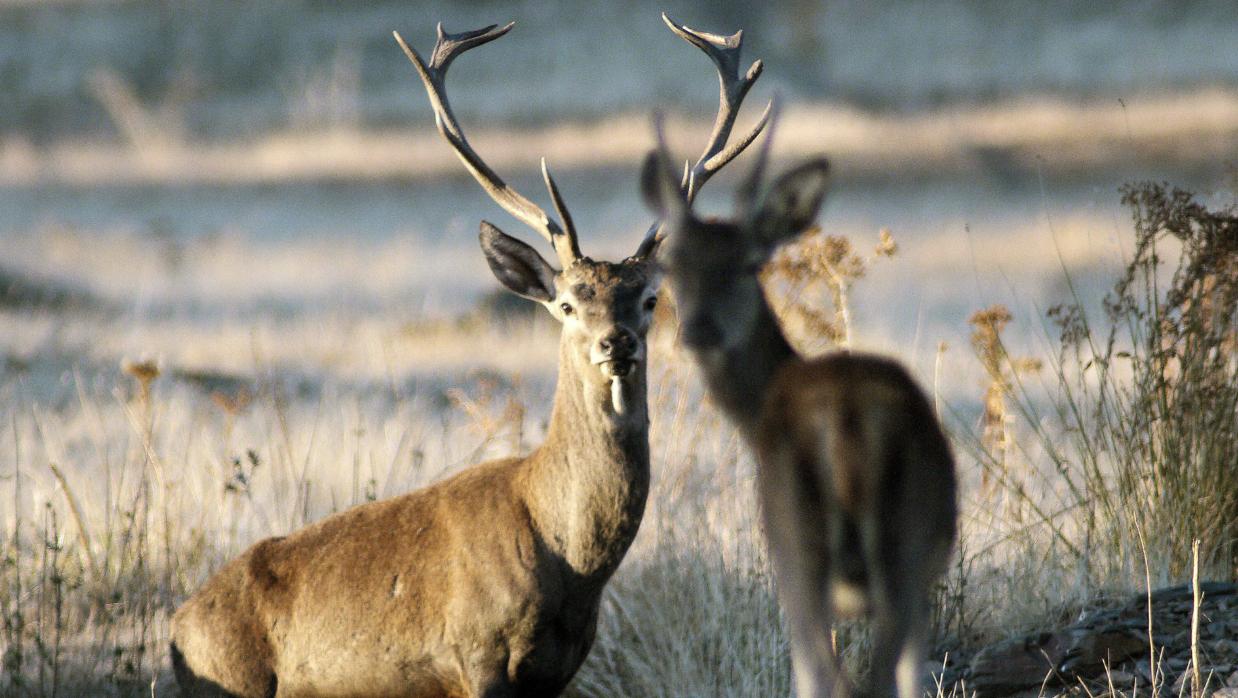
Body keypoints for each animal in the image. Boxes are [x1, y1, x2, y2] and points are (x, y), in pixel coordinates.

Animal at [164, 17, 762, 698]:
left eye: (651, 299)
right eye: (565, 303)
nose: (617, 342)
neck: (571, 566)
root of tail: (177, 627)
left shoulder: (561, 668)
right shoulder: (476, 653)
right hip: (230, 678)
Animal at [643, 17, 960, 698]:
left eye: (748, 264)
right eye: (674, 265)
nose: (699, 330)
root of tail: (846, 422)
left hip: (801, 548)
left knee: (833, 676)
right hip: (890, 550)